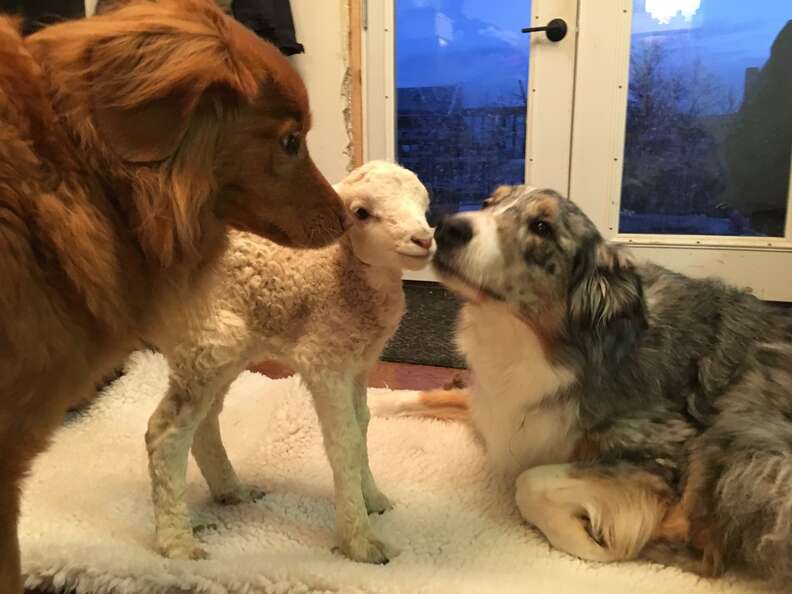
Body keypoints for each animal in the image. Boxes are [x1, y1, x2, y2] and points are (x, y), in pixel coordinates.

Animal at [147, 162, 434, 564]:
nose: (423, 239)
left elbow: (362, 426)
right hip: (204, 344)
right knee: (164, 433)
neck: (341, 269)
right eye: (361, 213)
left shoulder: (358, 364)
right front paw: (360, 541)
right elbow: (344, 441)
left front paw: (373, 499)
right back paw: (177, 543)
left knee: (204, 422)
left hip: (221, 351)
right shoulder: (324, 360)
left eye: (424, 203)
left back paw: (232, 491)